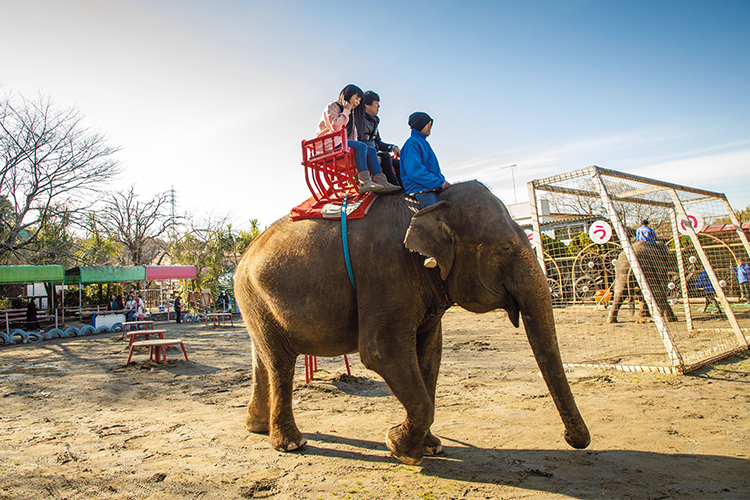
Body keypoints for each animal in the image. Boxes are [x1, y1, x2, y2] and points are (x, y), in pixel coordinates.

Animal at [236, 182, 592, 466]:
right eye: (505, 248)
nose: (570, 440)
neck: (432, 204)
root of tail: (245, 253)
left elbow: (430, 354)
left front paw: (430, 447)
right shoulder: (387, 271)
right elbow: (380, 352)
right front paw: (400, 448)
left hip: (255, 304)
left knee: (261, 359)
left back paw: (257, 427)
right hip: (258, 297)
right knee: (280, 362)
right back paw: (292, 444)